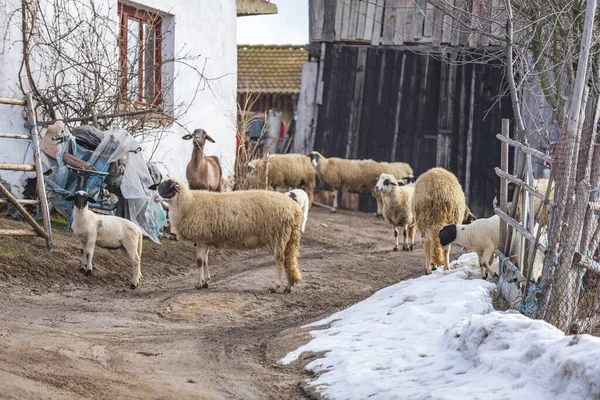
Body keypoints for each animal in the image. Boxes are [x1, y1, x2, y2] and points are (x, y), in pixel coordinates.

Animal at [148, 180, 302, 292]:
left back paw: (275, 286)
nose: (155, 197)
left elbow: (199, 261)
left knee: (280, 260)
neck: (188, 203)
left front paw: (199, 284)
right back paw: (289, 286)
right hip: (290, 236)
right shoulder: (205, 239)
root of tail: (295, 209)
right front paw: (206, 281)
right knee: (289, 259)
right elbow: (206, 260)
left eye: (169, 187)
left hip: (278, 234)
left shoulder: (201, 238)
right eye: (158, 186)